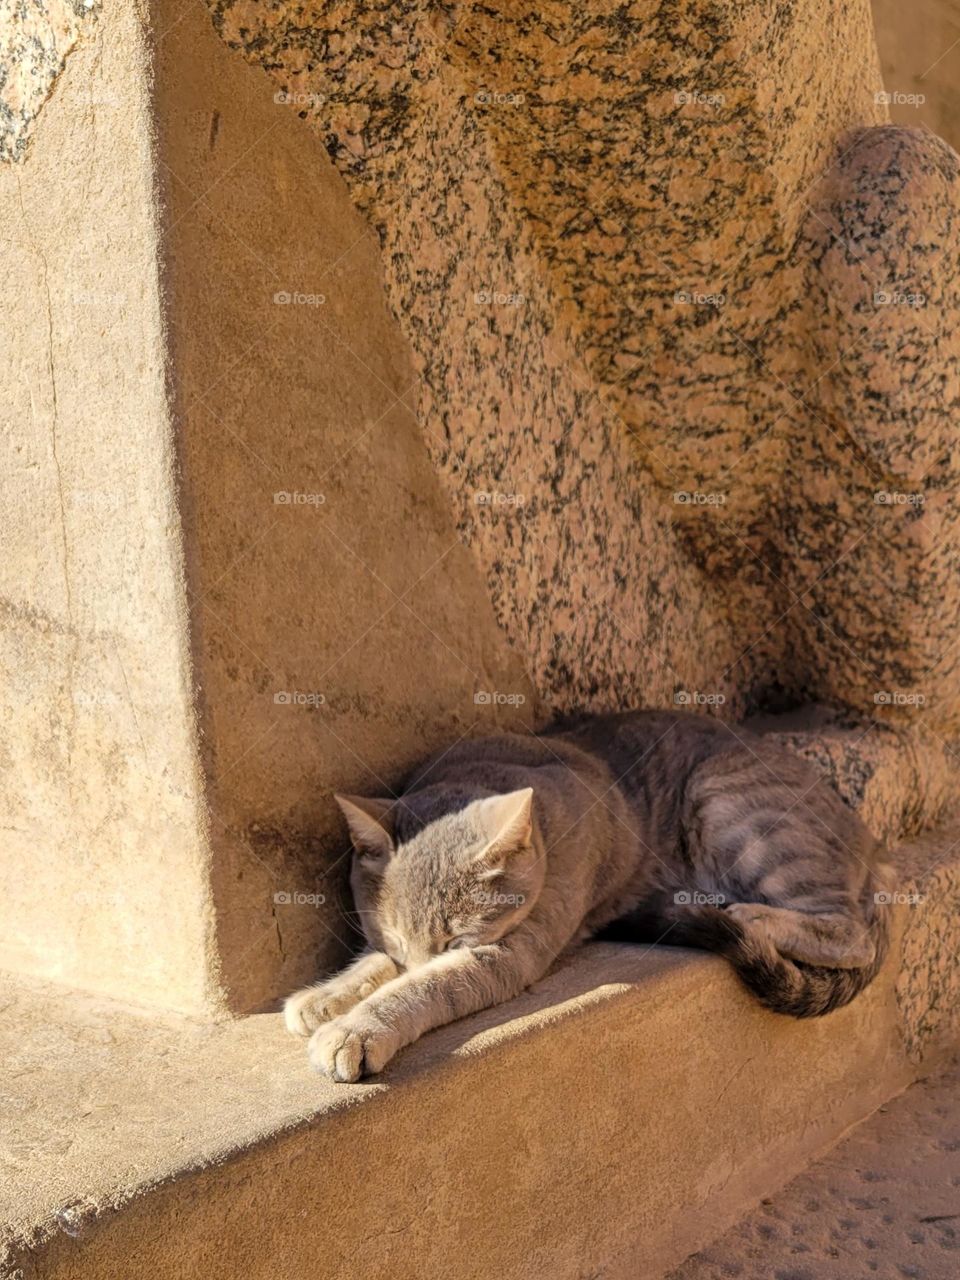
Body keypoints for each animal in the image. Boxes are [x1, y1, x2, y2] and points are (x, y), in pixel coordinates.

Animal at [284, 711, 896, 1080]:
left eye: (457, 940)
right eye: (392, 936)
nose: (414, 956)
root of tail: (872, 844)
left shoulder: (509, 951)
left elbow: (426, 988)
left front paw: (356, 1028)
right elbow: (375, 966)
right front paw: (327, 996)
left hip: (732, 805)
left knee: (849, 933)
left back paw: (744, 913)